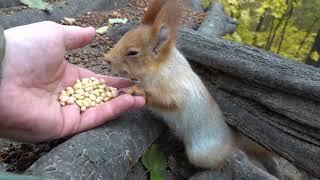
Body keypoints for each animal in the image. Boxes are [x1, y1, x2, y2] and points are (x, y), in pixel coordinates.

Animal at [105, 0, 282, 177]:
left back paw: (221, 163)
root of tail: (230, 139)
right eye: (124, 36)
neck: (161, 68)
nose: (107, 59)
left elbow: (168, 101)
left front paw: (137, 90)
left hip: (201, 153)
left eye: (133, 52)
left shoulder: (178, 88)